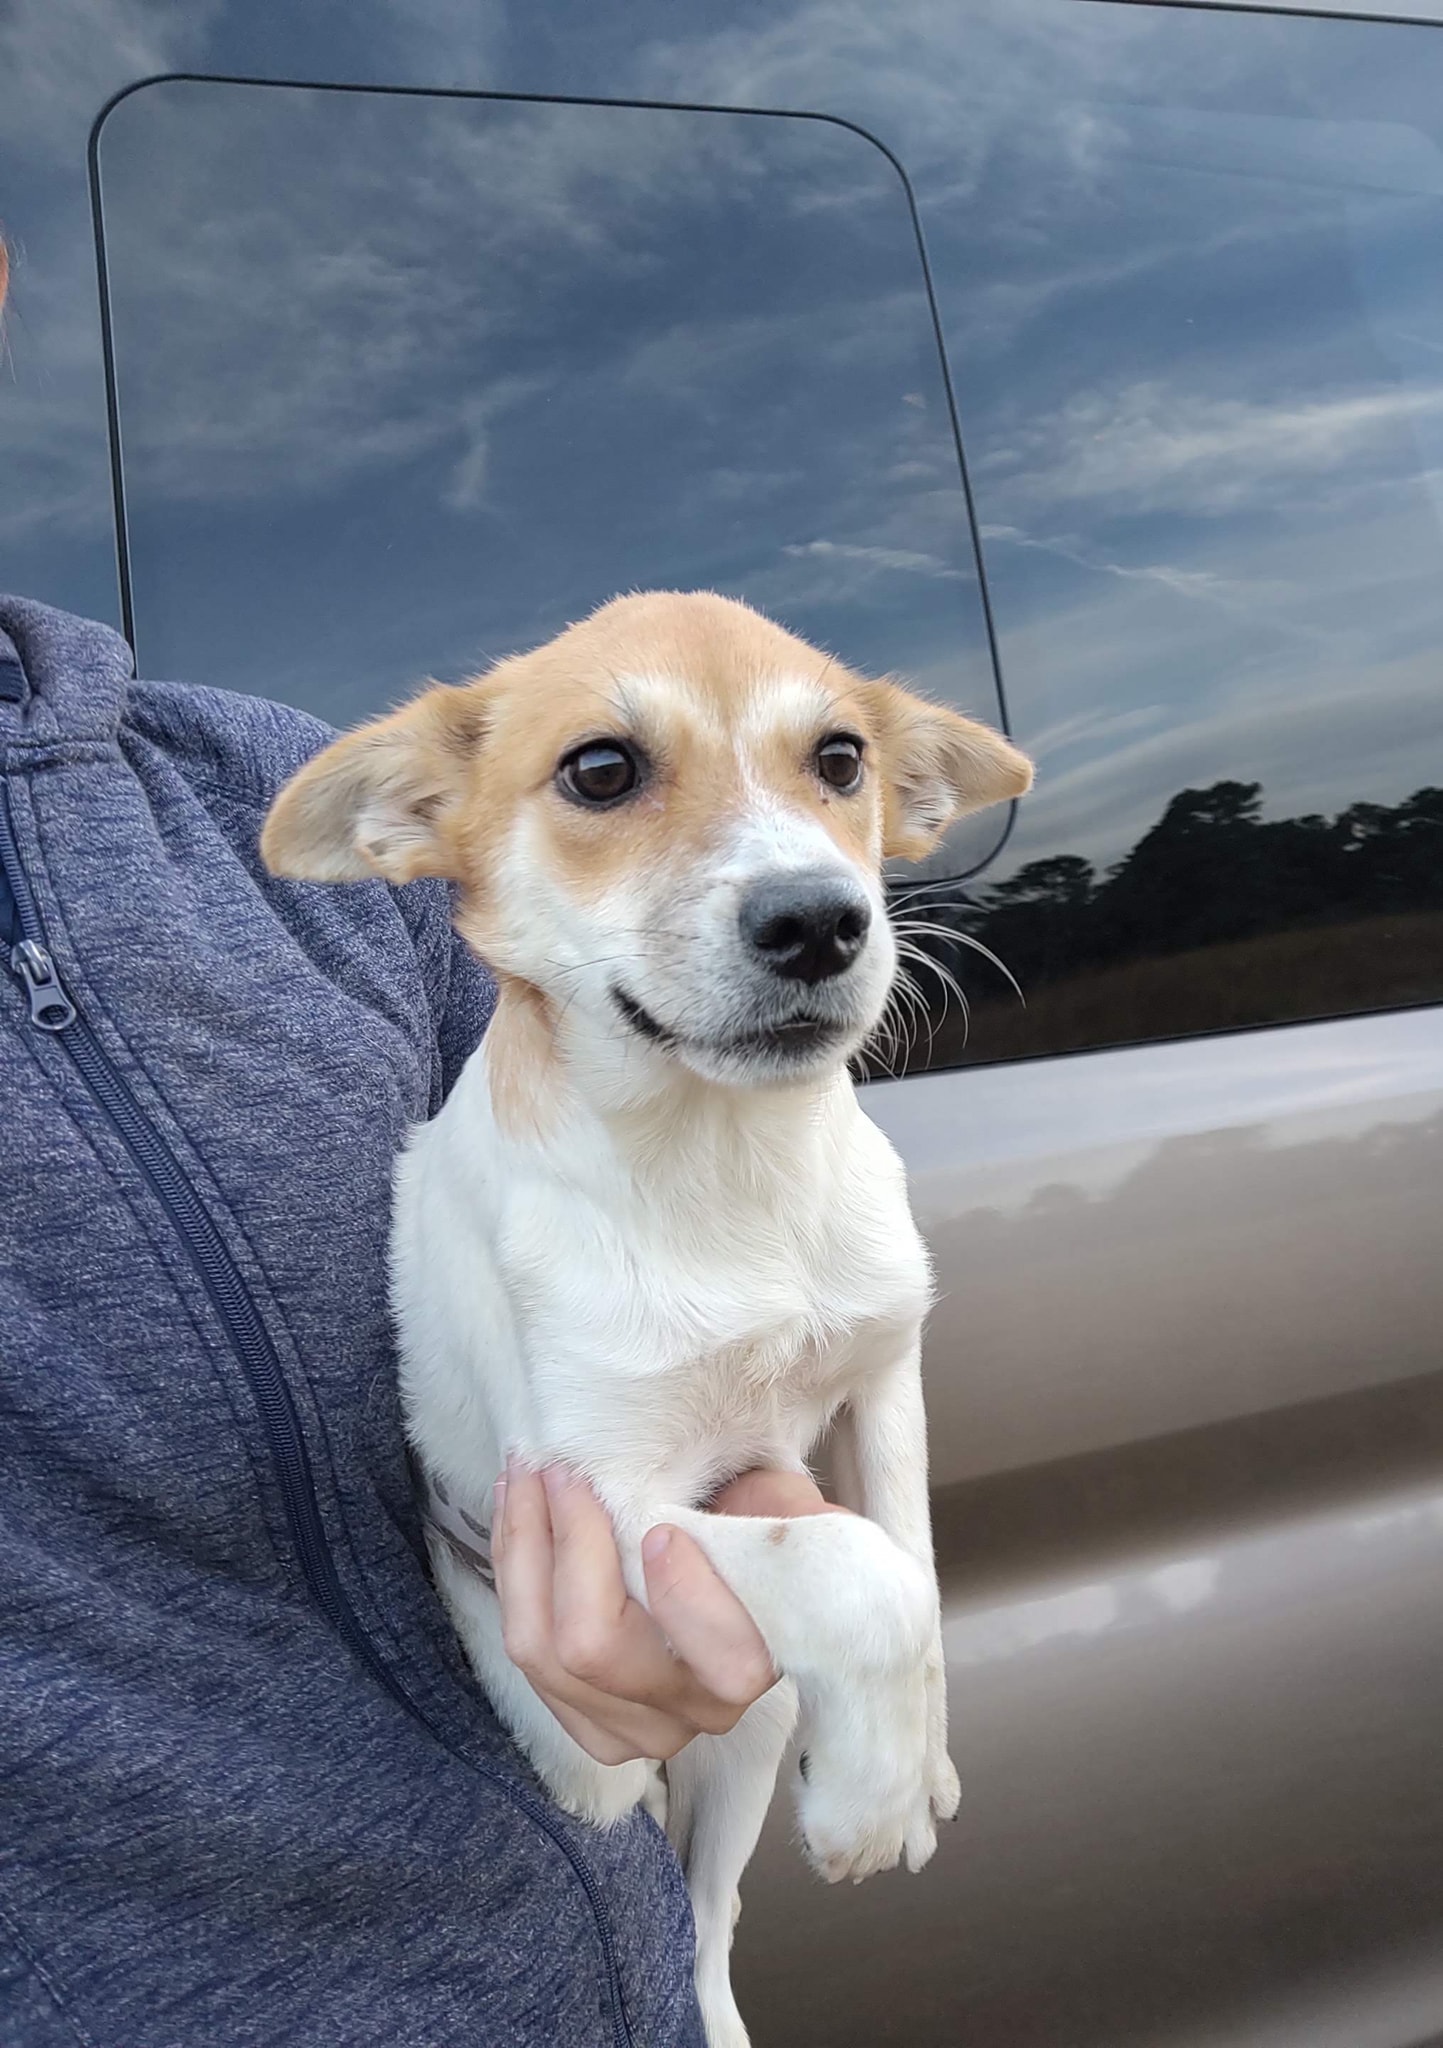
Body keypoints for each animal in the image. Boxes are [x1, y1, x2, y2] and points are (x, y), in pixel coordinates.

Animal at [261, 590, 1032, 2047]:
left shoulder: (880, 1372)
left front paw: (917, 1768)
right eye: (602, 769)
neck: (730, 1172)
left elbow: (909, 1553)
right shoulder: (603, 1506)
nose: (819, 922)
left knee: (710, 1914)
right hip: (602, 1746)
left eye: (839, 759)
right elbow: (857, 1571)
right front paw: (870, 1796)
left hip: (749, 1724)